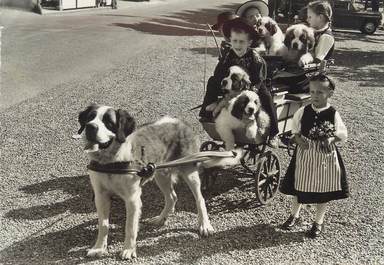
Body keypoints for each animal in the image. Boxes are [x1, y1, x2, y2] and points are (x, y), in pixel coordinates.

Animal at [78, 104, 214, 258]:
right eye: (90, 117)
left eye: (108, 122)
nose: (90, 127)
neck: (111, 162)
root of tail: (180, 122)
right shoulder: (101, 197)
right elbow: (103, 224)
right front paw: (99, 248)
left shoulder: (132, 199)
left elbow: (130, 226)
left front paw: (128, 249)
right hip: (159, 173)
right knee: (172, 197)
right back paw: (160, 219)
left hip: (189, 171)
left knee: (199, 198)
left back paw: (204, 225)